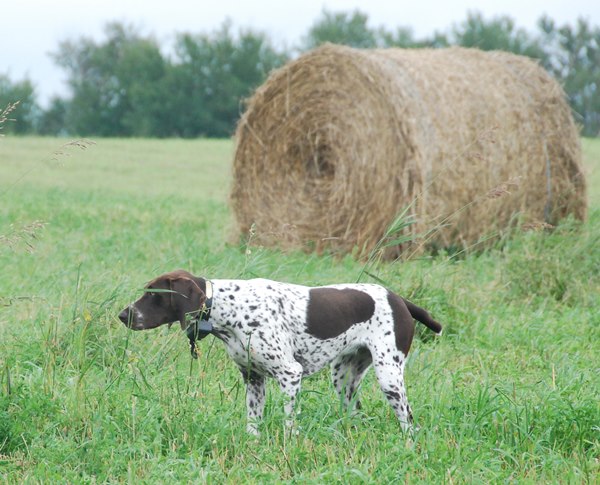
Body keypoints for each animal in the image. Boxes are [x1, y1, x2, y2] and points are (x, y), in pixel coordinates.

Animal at [119, 268, 442, 434]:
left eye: (153, 294)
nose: (123, 315)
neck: (230, 307)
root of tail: (399, 299)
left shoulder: (290, 374)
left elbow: (289, 421)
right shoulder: (253, 378)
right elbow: (253, 421)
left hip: (389, 377)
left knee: (408, 420)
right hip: (343, 378)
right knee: (356, 412)